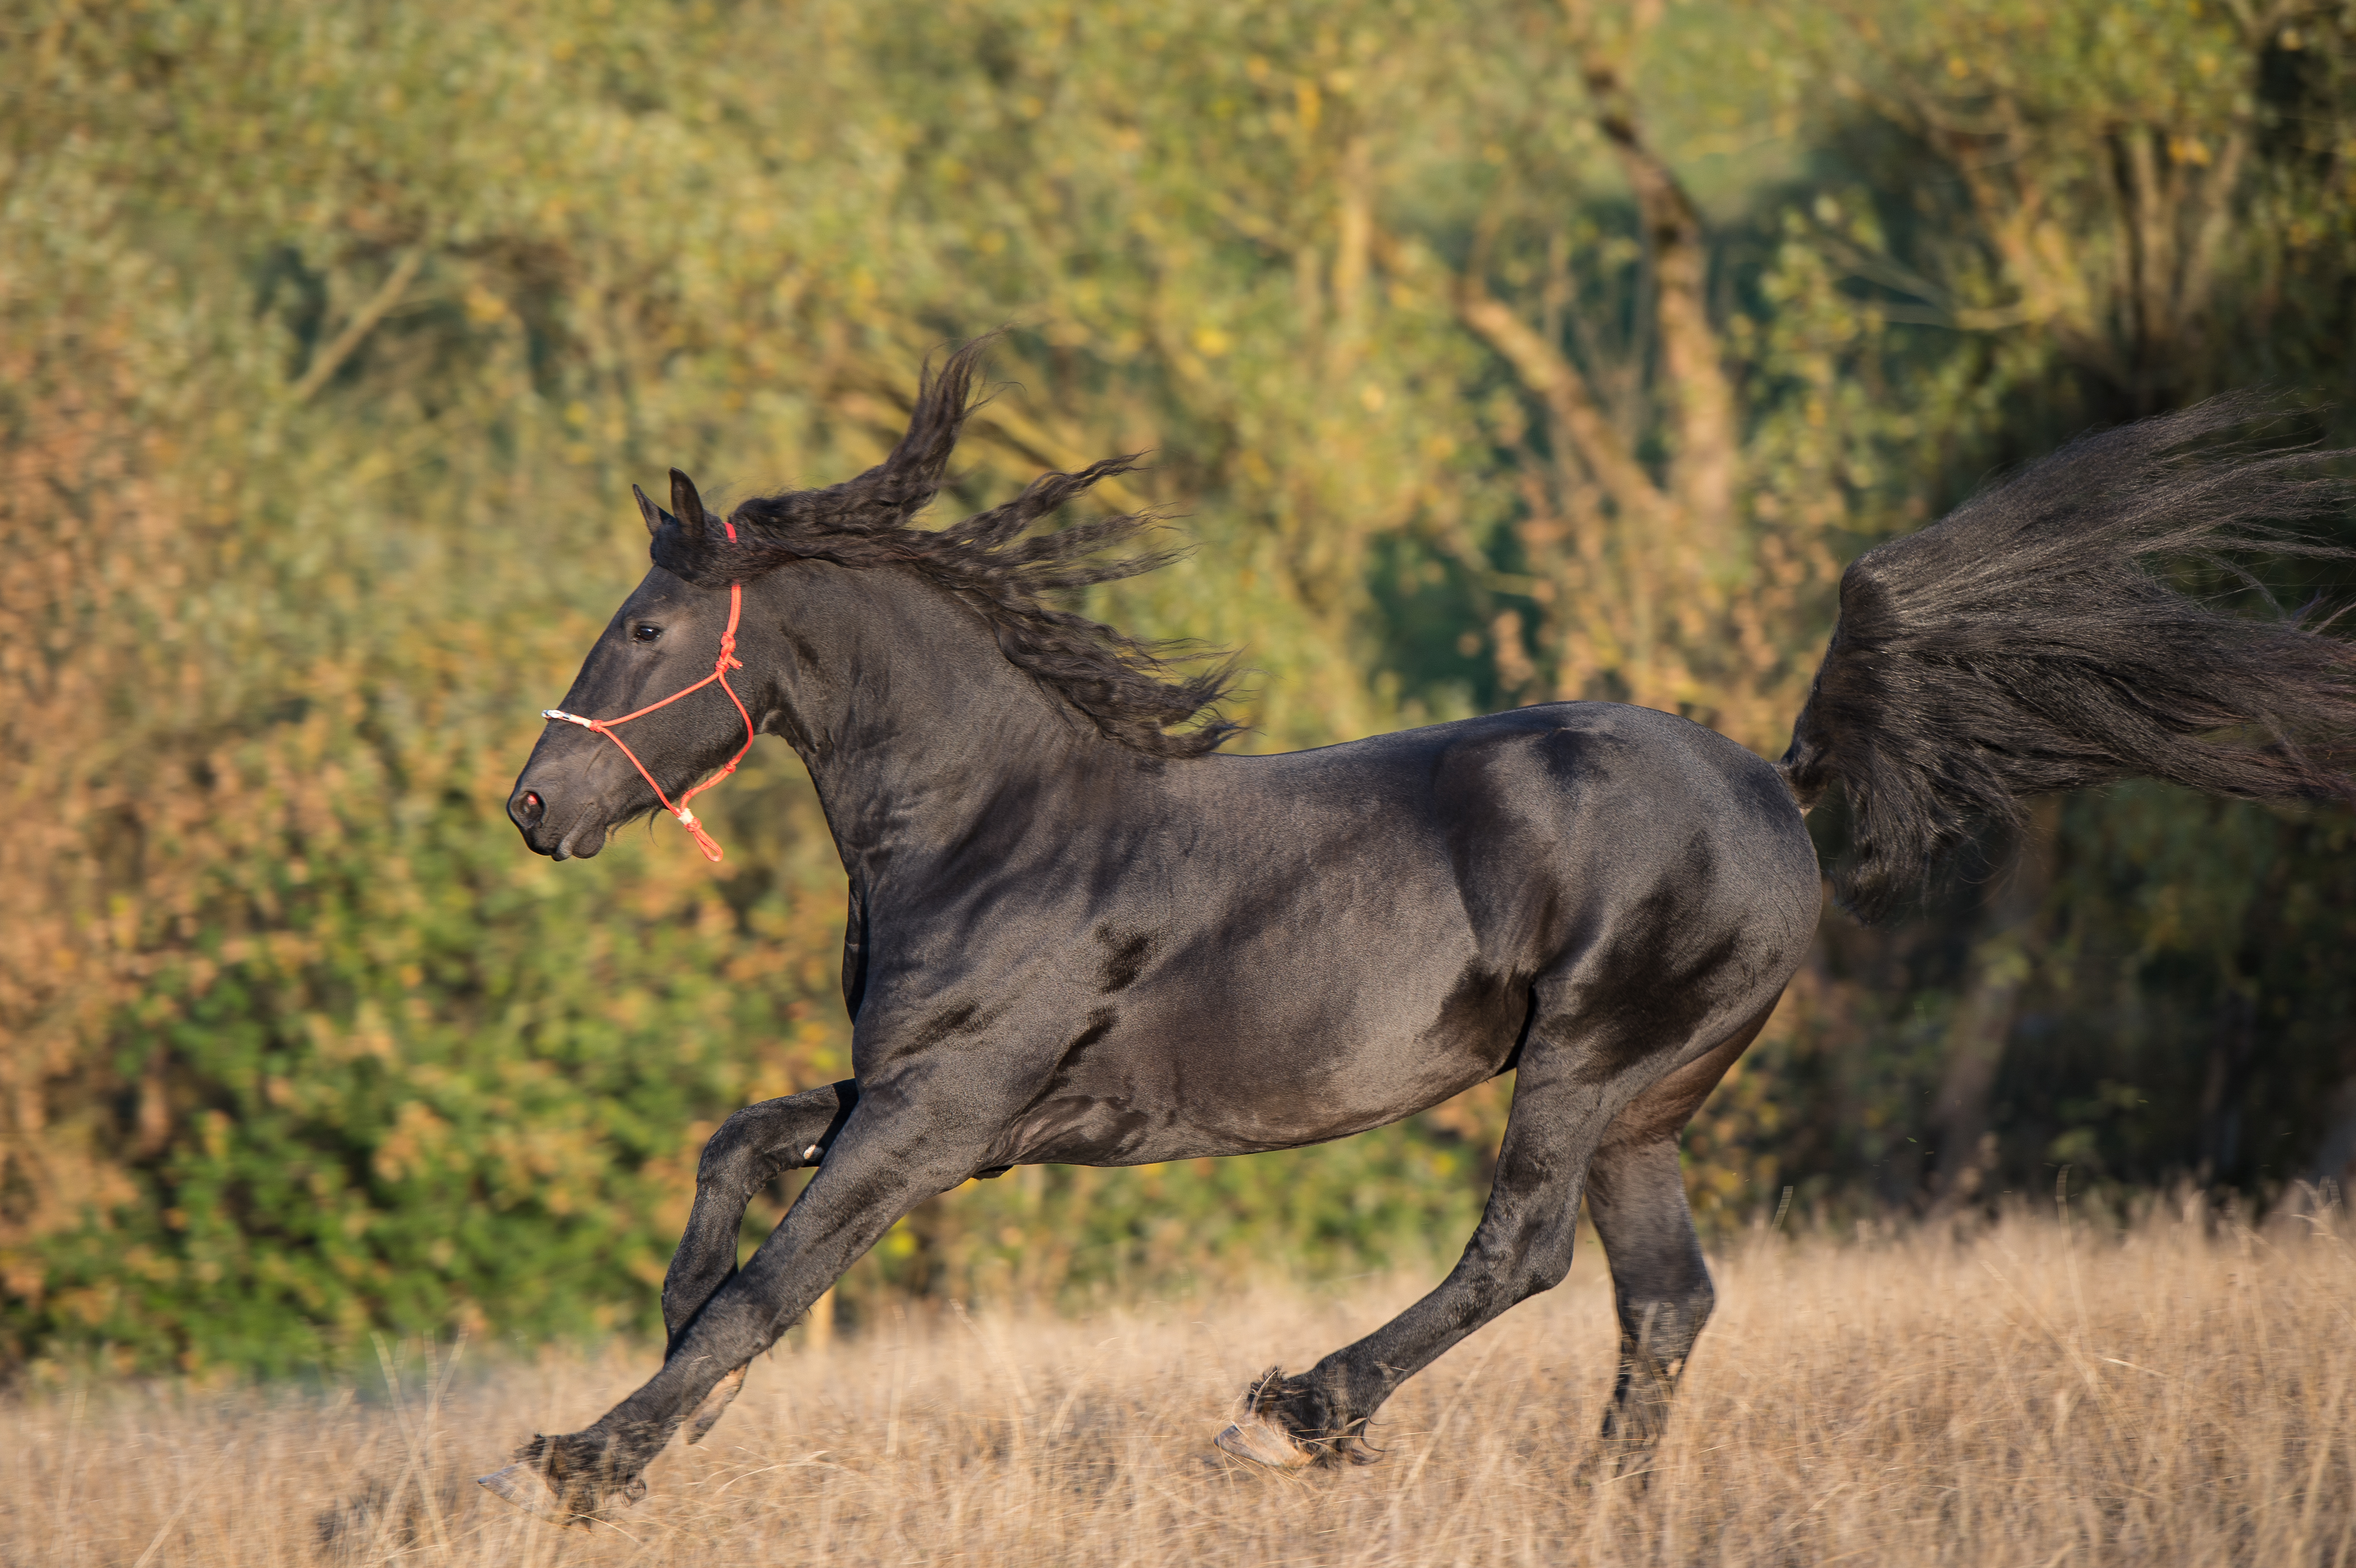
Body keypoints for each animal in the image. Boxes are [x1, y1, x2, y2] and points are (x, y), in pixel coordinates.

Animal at [486, 342, 2356, 1519]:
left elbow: (780, 1281)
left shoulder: (940, 1119)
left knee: (1521, 1257)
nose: (530, 808)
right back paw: (1598, 1511)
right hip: (1647, 1105)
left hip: (1586, 1059)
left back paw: (1293, 1421)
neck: (991, 829)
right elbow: (736, 1155)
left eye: (643, 627)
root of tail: (1774, 775)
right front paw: (663, 1353)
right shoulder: (931, 1104)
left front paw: (584, 1461)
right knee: (1663, 1300)